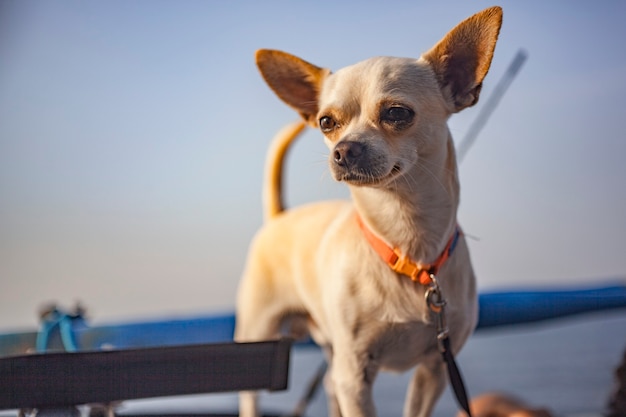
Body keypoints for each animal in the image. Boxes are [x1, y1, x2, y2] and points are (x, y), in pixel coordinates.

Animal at [235, 6, 502, 416]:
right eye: (326, 122)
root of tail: (280, 215)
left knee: (328, 384)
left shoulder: (436, 368)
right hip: (259, 333)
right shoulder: (356, 373)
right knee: (249, 392)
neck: (406, 243)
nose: (342, 150)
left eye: (396, 113)